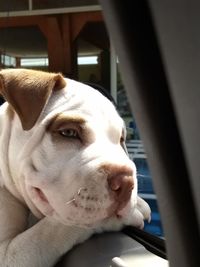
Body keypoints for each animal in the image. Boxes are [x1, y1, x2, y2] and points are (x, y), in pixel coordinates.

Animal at [0, 69, 151, 267]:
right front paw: (130, 213)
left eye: (121, 139)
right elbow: (53, 229)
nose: (126, 182)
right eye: (69, 132)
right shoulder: (8, 253)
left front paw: (137, 203)